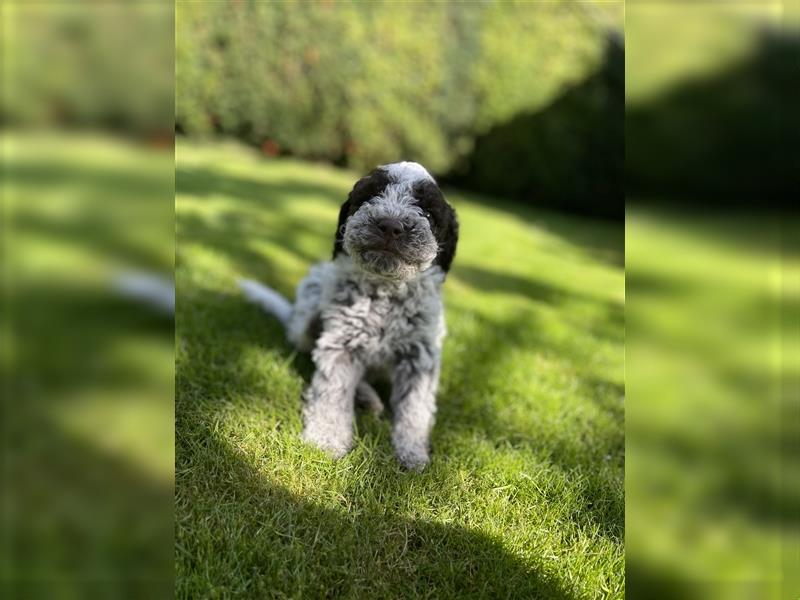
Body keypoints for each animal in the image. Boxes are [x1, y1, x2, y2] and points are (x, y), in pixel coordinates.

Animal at [239, 162, 456, 472]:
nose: (391, 225)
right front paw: (326, 440)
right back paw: (365, 396)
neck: (385, 292)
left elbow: (415, 408)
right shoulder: (340, 344)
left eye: (426, 212)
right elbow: (333, 393)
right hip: (308, 315)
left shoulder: (419, 357)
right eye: (370, 196)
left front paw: (413, 451)